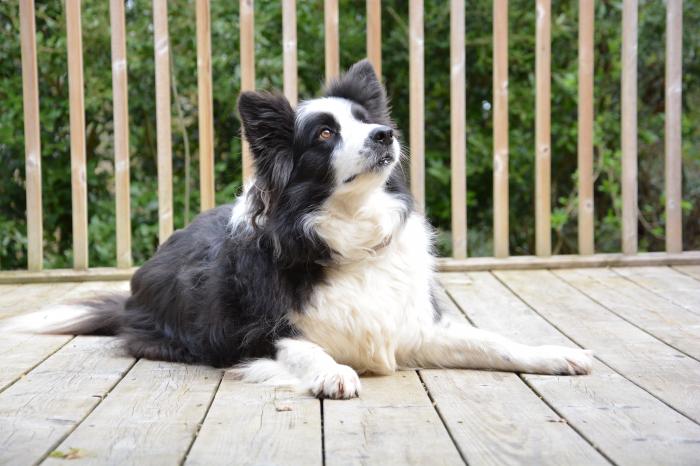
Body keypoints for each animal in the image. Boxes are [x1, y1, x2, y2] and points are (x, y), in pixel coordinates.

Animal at [8, 60, 592, 398]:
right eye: (326, 133)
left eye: (365, 120)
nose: (386, 134)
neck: (348, 233)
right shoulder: (253, 335)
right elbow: (303, 347)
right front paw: (331, 372)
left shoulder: (411, 327)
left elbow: (492, 341)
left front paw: (551, 353)